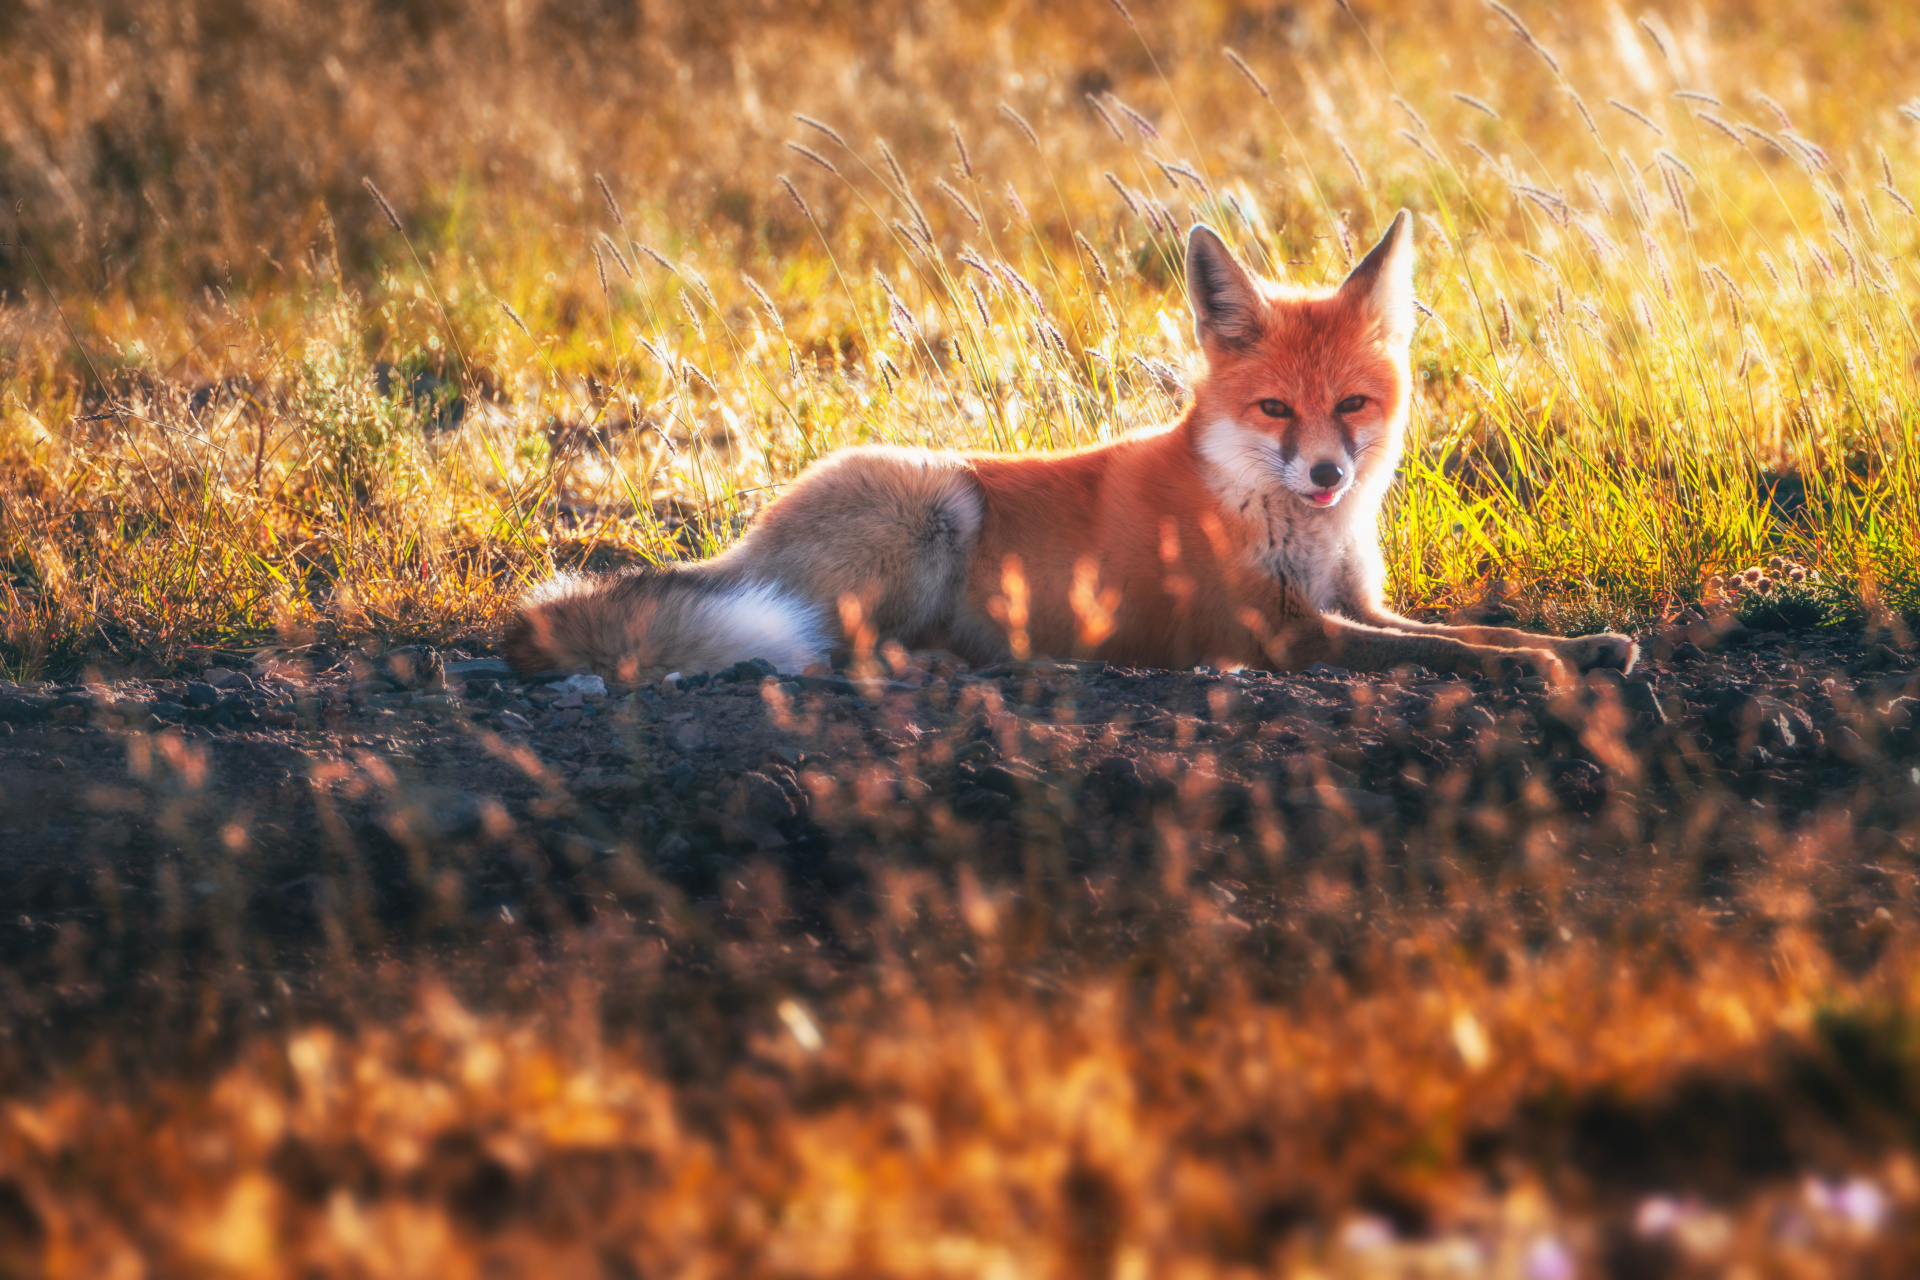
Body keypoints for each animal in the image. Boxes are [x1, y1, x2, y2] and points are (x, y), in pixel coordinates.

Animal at [506, 214, 1635, 687]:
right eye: (1275, 408)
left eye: (1353, 404)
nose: (1326, 474)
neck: (1289, 530)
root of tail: (754, 535)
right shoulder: (1280, 631)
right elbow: (1457, 653)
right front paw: (1553, 665)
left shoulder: (1355, 603)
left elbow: (1471, 631)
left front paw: (1584, 646)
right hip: (936, 503)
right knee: (836, 643)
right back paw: (953, 660)